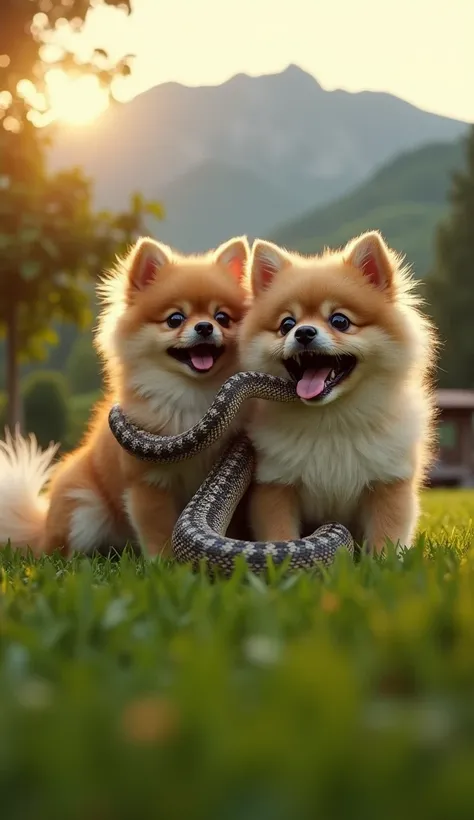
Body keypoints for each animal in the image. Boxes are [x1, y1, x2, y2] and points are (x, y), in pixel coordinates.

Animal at [0, 237, 252, 556]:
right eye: (175, 319)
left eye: (222, 318)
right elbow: (158, 530)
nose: (205, 326)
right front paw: (166, 562)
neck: (194, 394)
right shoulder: (148, 482)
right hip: (83, 508)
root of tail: (40, 530)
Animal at [239, 227, 438, 556]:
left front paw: (384, 562)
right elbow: (280, 533)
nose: (304, 332)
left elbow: (386, 537)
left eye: (340, 321)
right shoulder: (275, 483)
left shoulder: (388, 481)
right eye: (287, 324)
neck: (330, 419)